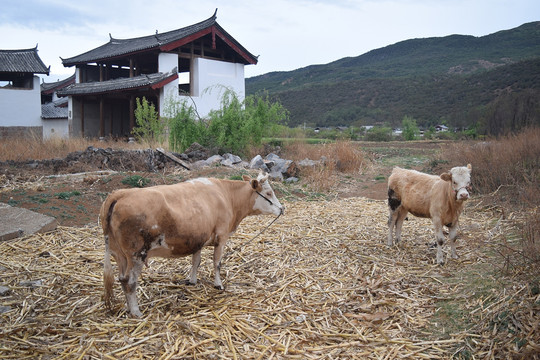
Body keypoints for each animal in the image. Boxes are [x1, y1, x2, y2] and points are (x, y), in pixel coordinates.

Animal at [99, 172, 282, 316]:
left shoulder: (198, 238)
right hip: (136, 254)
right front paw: (218, 285)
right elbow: (217, 263)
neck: (226, 196)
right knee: (130, 281)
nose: (282, 209)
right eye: (268, 192)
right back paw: (136, 312)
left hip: (119, 253)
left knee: (122, 279)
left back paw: (129, 309)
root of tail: (119, 194)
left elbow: (196, 261)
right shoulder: (221, 237)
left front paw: (192, 280)